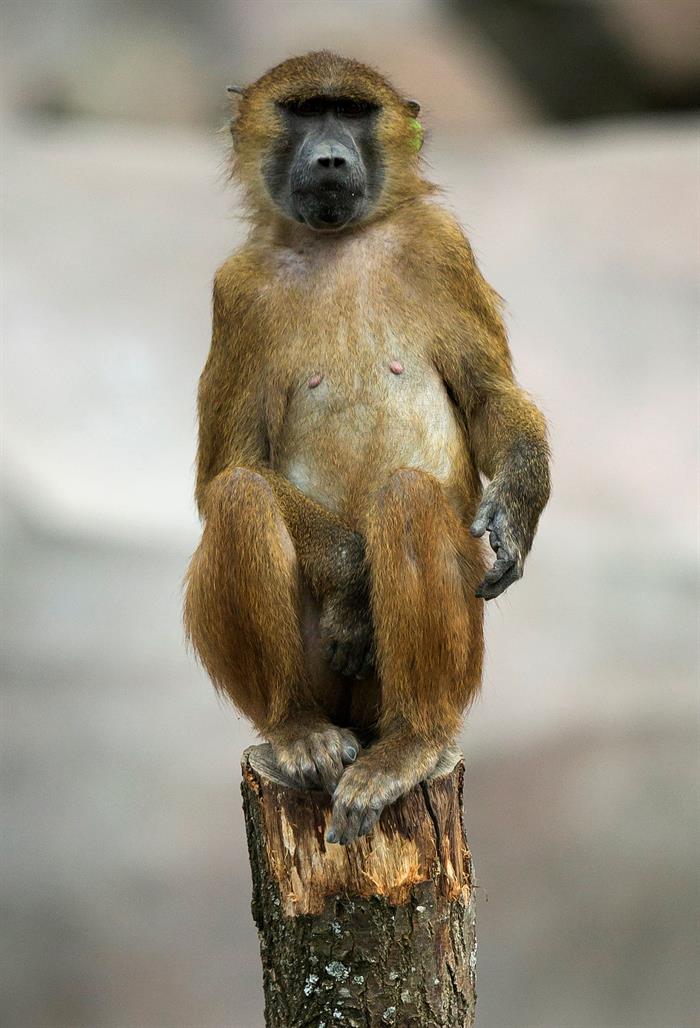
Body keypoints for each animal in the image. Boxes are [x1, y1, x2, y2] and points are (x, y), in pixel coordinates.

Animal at [184, 52, 550, 846]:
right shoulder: (236, 291)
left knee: (407, 499)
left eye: (351, 112)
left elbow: (489, 398)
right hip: (323, 685)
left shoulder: (444, 247)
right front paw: (353, 586)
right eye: (304, 111)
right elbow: (225, 472)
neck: (336, 242)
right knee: (242, 500)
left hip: (452, 661)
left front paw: (515, 508)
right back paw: (299, 732)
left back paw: (409, 745)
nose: (329, 157)